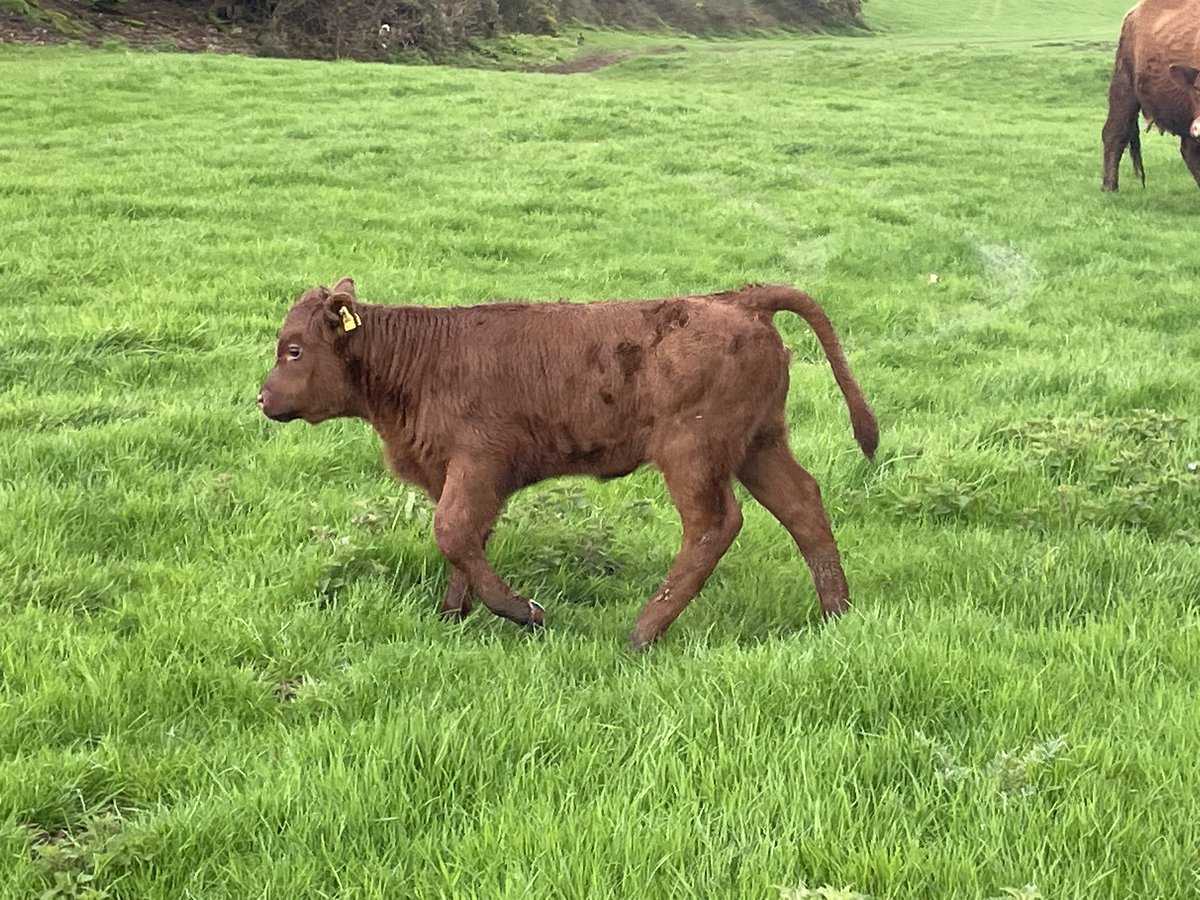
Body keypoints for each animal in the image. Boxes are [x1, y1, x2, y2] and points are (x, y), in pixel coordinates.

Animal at [258, 279, 878, 650]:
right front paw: (452, 615)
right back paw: (836, 613)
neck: (422, 361)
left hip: (694, 454)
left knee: (713, 526)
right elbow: (466, 541)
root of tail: (737, 297)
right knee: (803, 505)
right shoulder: (456, 475)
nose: (262, 398)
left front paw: (525, 613)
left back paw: (642, 632)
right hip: (759, 445)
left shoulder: (478, 465)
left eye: (294, 350)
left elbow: (453, 532)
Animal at [1102, 0, 1200, 192]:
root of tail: (1134, 12)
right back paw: (1109, 188)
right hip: (1124, 84)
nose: (1198, 128)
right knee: (1114, 133)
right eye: (1197, 89)